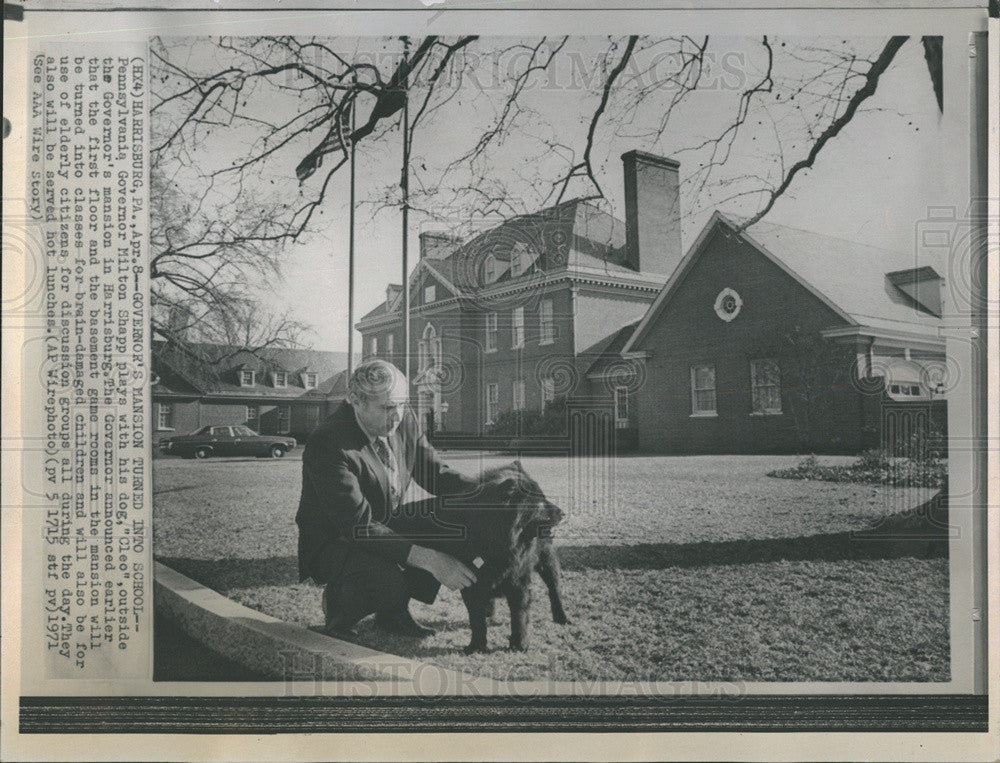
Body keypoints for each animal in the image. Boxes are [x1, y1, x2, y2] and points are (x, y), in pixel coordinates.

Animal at [438, 462, 572, 652]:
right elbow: (476, 619)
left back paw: (561, 618)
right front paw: (476, 646)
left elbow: (519, 616)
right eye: (539, 501)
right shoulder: (470, 583)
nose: (563, 513)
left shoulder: (518, 582)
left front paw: (519, 644)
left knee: (555, 591)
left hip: (547, 561)